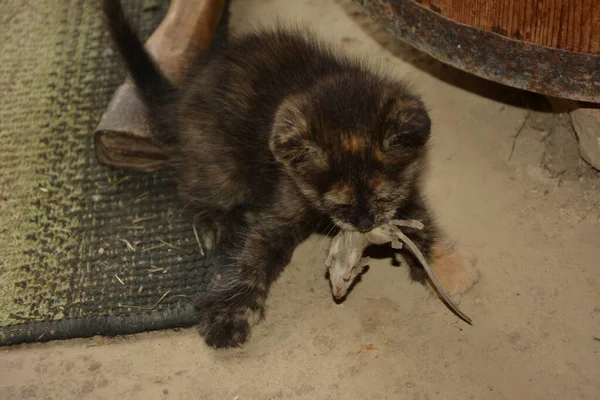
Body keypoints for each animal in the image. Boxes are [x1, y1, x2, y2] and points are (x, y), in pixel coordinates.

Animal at [105, 0, 446, 346]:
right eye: (341, 203)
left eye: (383, 197)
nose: (365, 224)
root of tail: (179, 102)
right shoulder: (284, 199)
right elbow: (255, 254)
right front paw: (232, 311)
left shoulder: (409, 186)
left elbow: (418, 215)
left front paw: (423, 254)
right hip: (219, 163)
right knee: (191, 186)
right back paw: (218, 223)